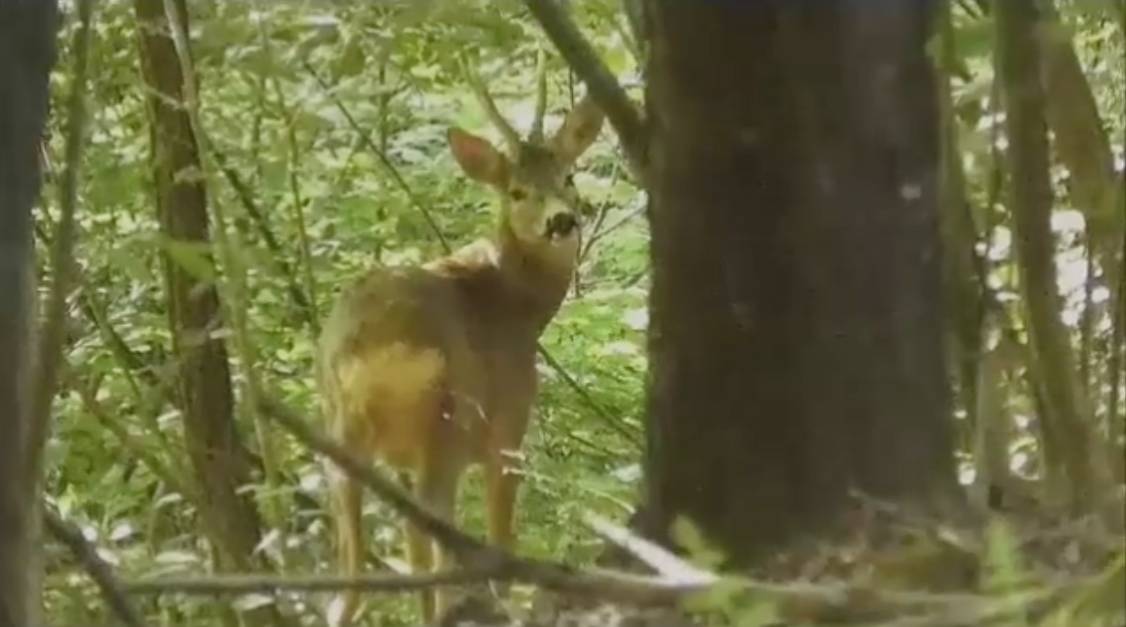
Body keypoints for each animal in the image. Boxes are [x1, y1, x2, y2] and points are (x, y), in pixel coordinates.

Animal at [317, 70, 603, 621]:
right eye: (516, 191)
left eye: (569, 178)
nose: (562, 221)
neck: (517, 303)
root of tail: (374, 345)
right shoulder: (509, 425)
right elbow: (500, 531)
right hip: (448, 416)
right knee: (437, 530)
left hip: (341, 429)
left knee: (357, 570)